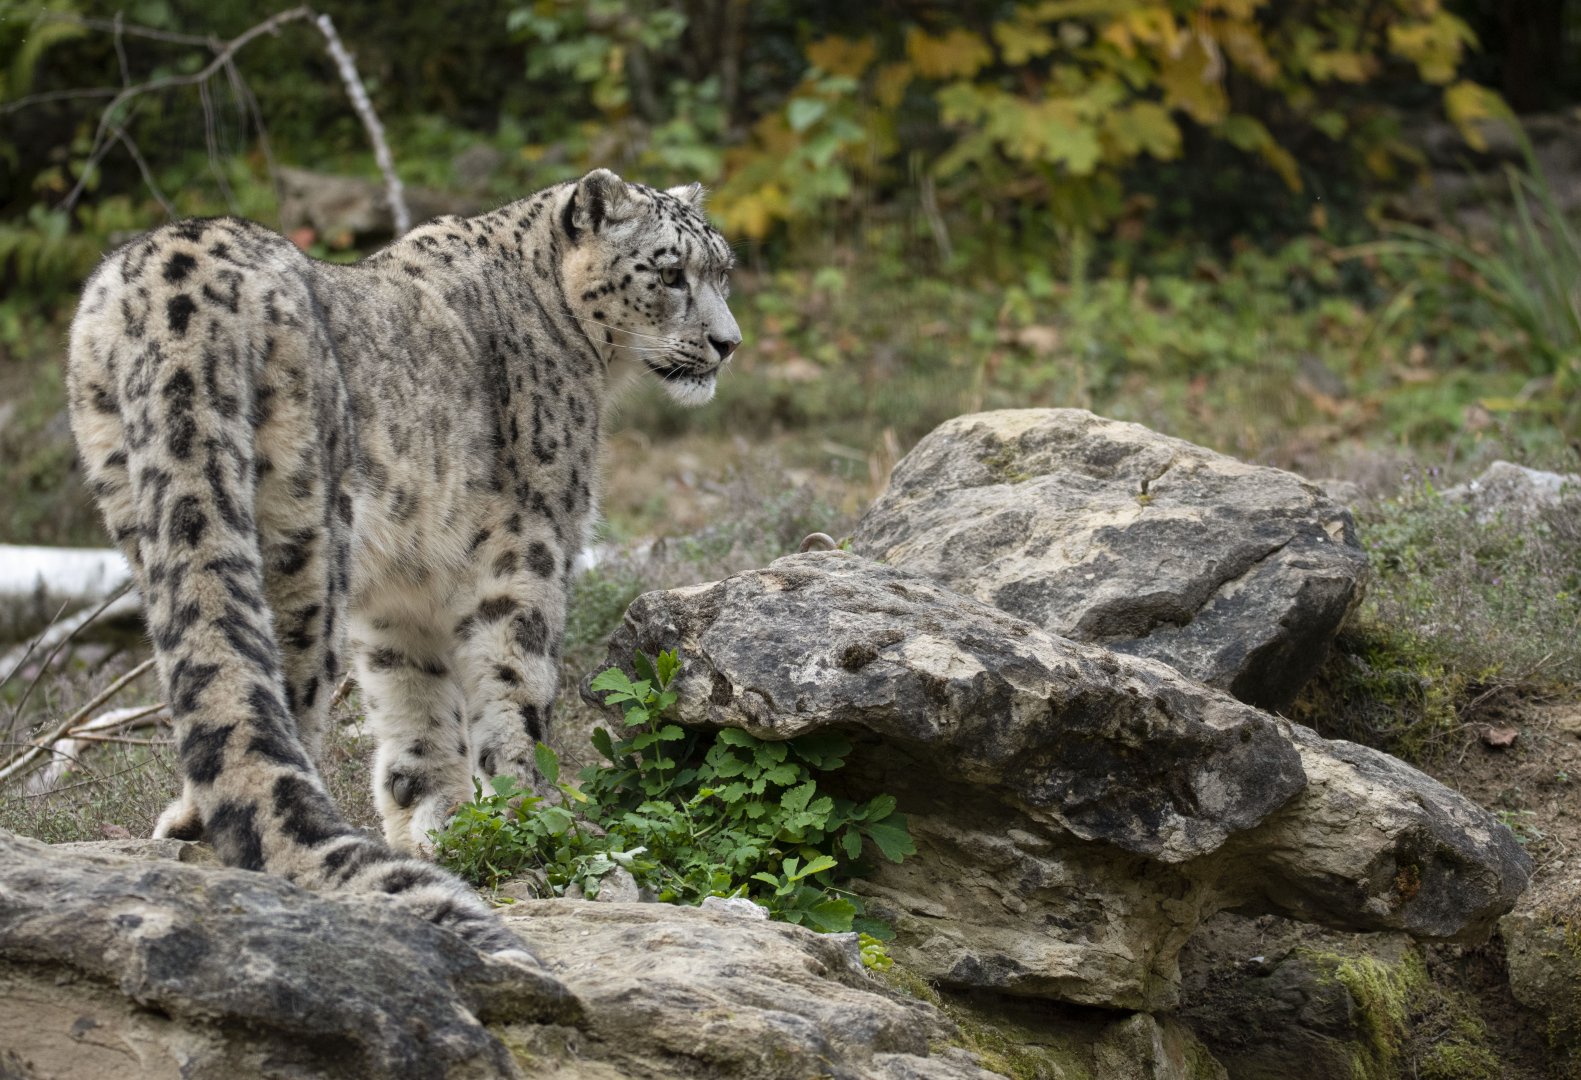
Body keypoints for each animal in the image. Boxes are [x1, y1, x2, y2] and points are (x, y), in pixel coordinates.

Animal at [64, 168, 738, 958]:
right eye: (670, 272)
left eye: (722, 270)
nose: (728, 343)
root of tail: (177, 275)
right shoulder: (532, 545)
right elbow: (515, 688)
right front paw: (533, 816)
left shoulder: (404, 588)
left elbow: (414, 698)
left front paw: (436, 817)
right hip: (301, 528)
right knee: (286, 682)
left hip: (129, 490)